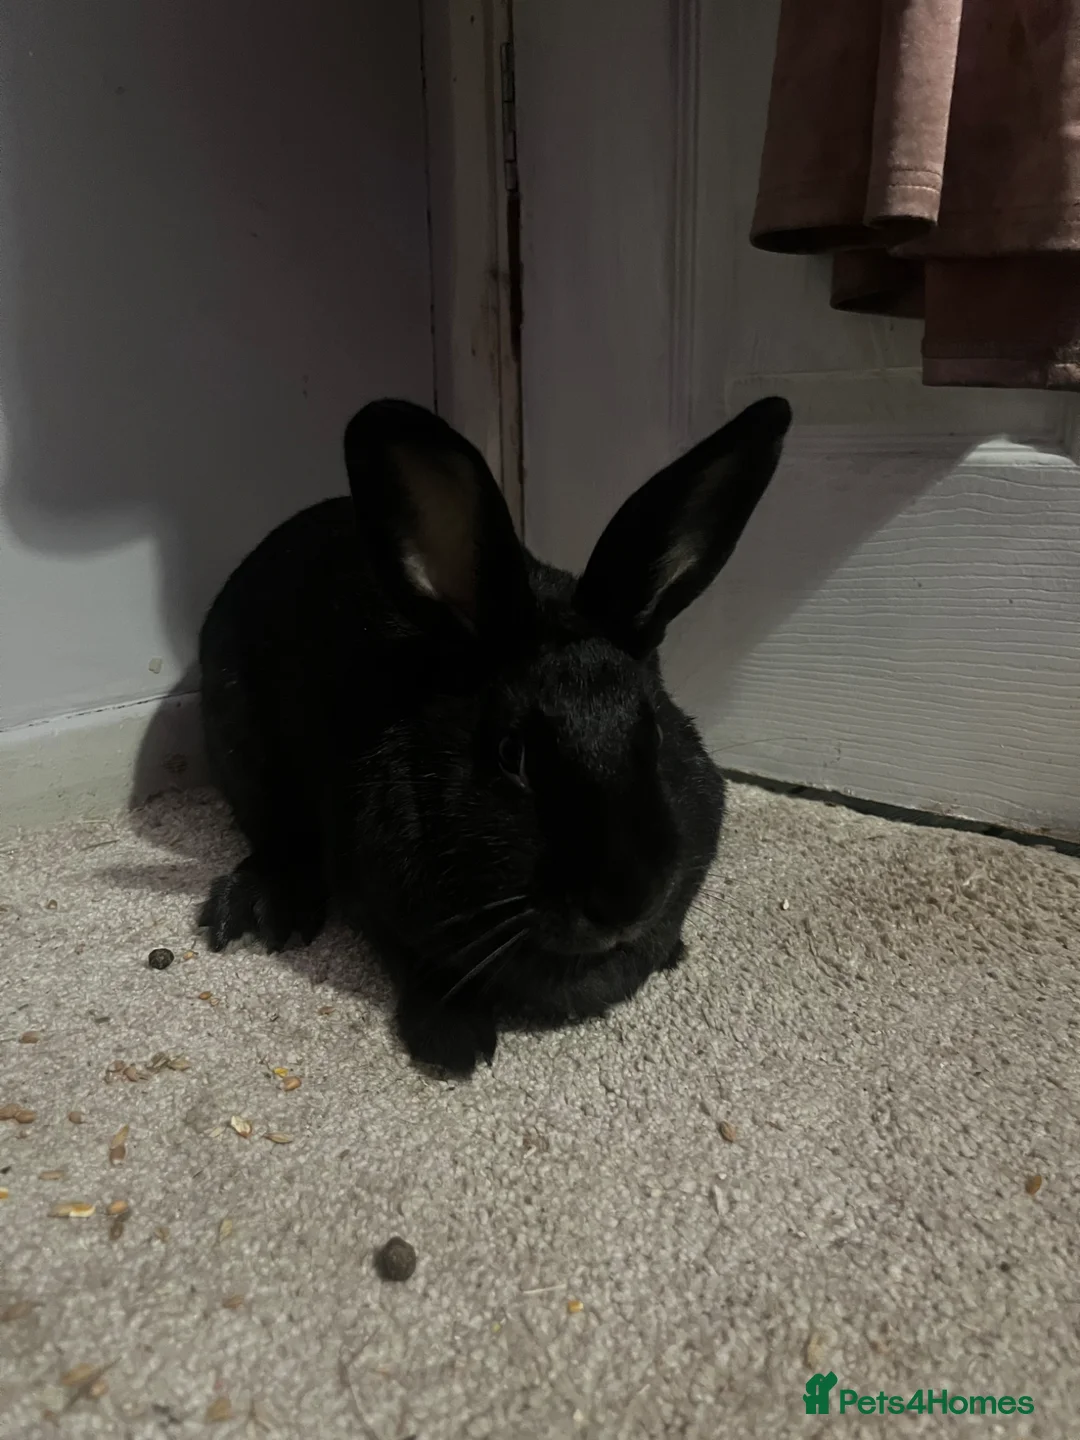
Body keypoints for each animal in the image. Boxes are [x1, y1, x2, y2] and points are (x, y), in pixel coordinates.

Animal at [198, 394, 792, 1075]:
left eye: (659, 736)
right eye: (514, 758)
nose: (625, 901)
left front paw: (670, 950)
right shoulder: (379, 904)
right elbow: (421, 966)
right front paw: (456, 1042)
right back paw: (263, 906)